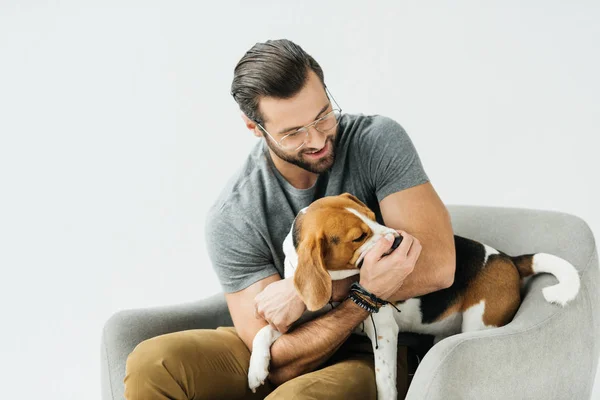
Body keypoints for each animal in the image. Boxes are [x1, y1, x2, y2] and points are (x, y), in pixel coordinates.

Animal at [246, 192, 580, 398]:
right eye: (359, 237)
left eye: (373, 215)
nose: (399, 240)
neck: (340, 283)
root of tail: (509, 259)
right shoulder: (301, 317)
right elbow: (265, 331)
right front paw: (256, 369)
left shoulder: (384, 331)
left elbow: (383, 380)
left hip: (480, 323)